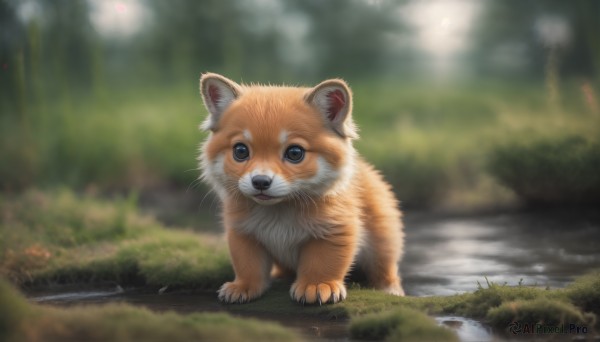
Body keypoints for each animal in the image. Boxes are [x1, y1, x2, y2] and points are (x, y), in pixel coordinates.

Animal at [199, 73, 406, 304]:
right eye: (240, 151)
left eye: (295, 153)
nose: (260, 181)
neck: (280, 212)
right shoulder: (243, 234)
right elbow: (248, 266)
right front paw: (243, 287)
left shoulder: (334, 232)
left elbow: (323, 264)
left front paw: (317, 286)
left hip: (383, 243)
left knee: (384, 270)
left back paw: (390, 289)